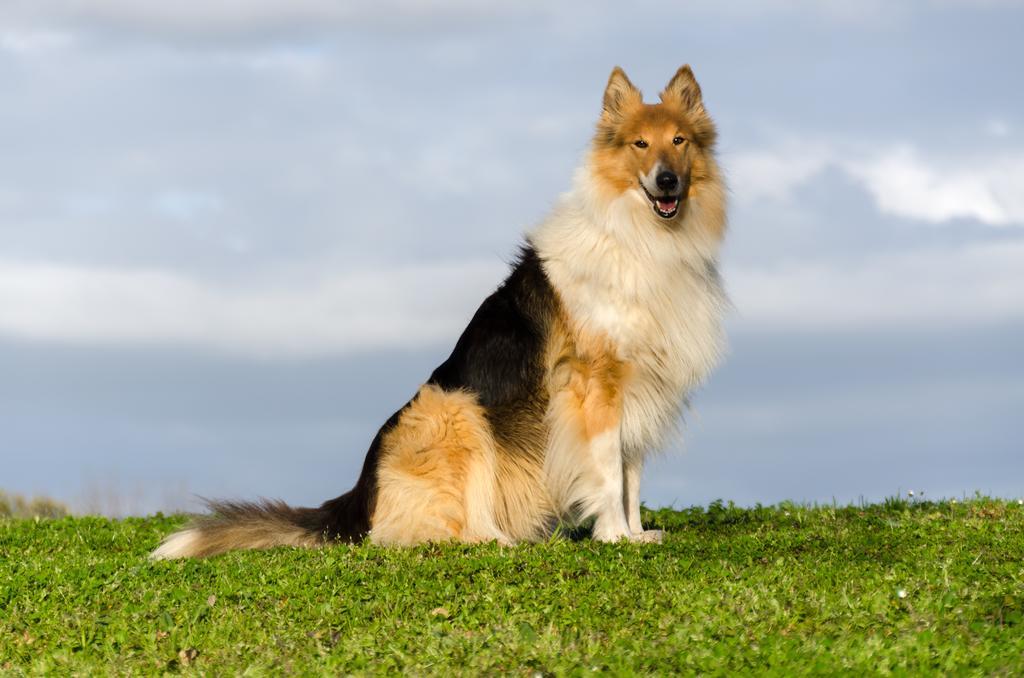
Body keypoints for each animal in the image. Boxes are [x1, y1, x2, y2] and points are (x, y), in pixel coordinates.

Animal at [151, 63, 729, 561]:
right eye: (639, 144)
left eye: (679, 141)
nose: (666, 181)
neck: (641, 236)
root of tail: (354, 502)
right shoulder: (593, 386)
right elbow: (607, 473)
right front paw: (612, 537)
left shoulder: (637, 387)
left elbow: (630, 474)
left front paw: (635, 533)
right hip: (456, 407)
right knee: (418, 533)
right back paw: (494, 539)